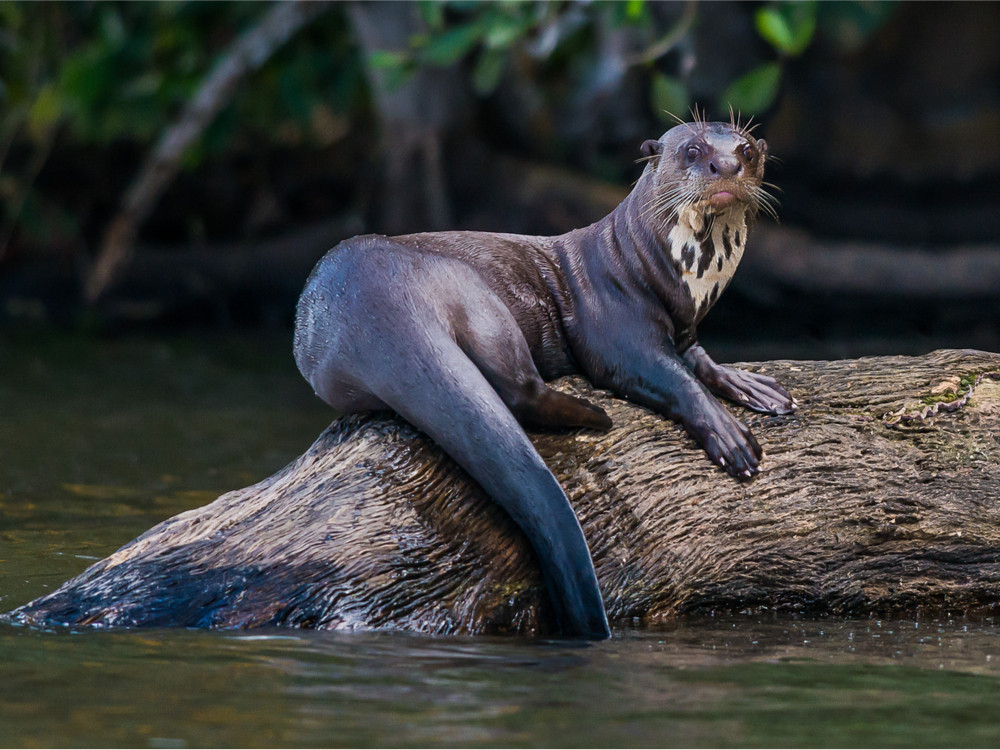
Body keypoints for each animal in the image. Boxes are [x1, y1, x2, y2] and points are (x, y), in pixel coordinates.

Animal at [292, 119, 796, 640]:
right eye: (693, 151)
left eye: (746, 150)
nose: (727, 166)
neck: (657, 270)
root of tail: (369, 303)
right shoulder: (616, 327)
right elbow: (668, 376)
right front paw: (729, 435)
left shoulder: (685, 329)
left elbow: (701, 361)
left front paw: (754, 386)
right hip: (471, 292)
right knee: (518, 388)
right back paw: (595, 416)